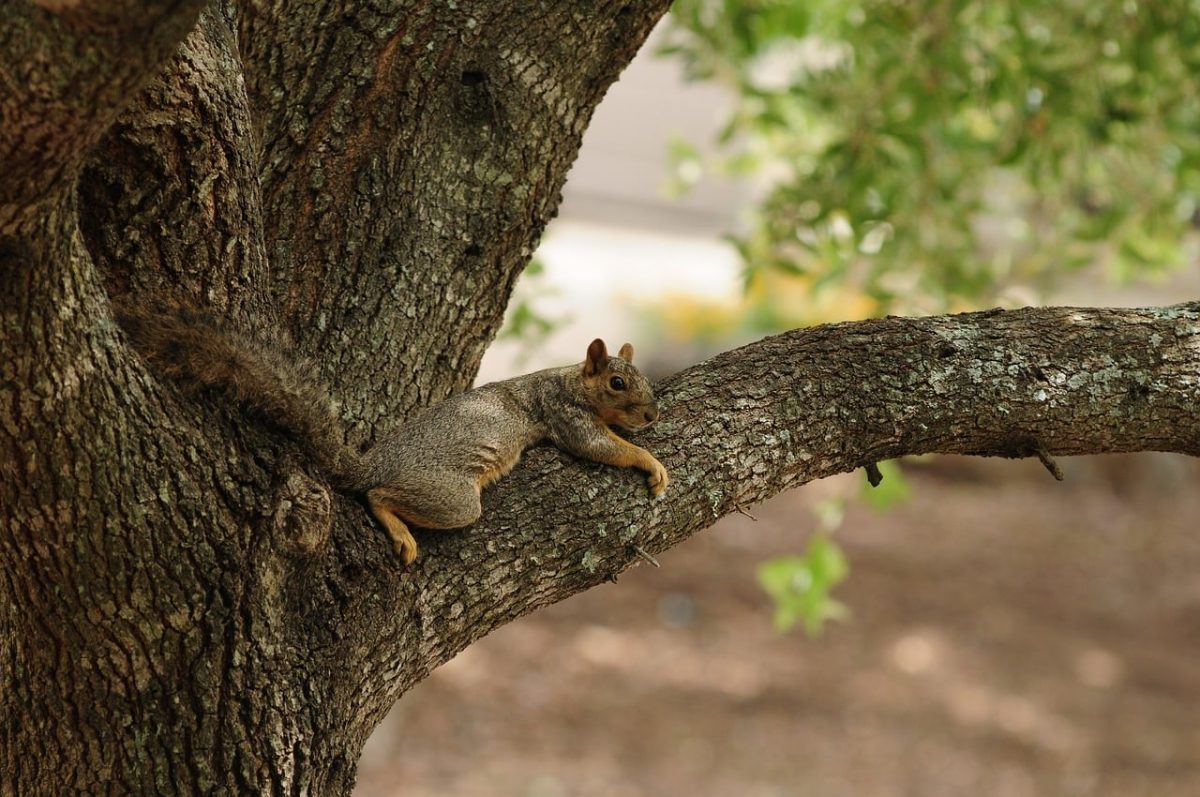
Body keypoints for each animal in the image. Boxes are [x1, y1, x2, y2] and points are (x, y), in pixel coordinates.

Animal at [117, 307, 669, 563]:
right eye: (618, 383)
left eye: (641, 378)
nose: (651, 415)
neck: (567, 378)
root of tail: (374, 462)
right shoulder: (563, 414)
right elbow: (598, 446)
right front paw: (651, 463)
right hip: (450, 497)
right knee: (380, 495)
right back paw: (399, 529)